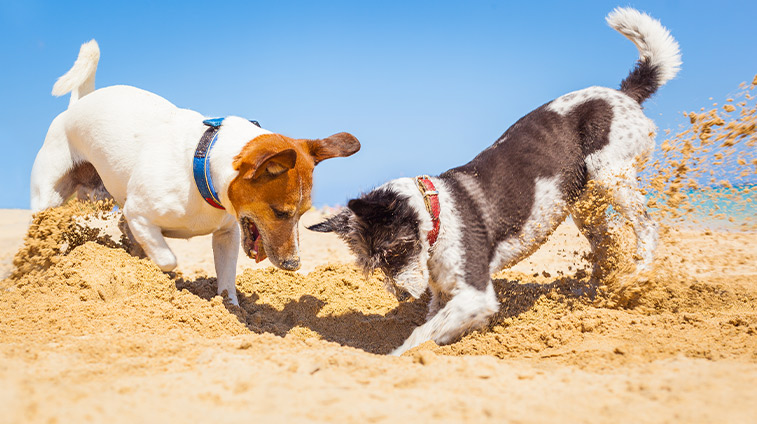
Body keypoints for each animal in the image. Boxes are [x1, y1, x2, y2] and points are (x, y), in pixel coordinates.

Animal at [30, 40, 360, 304]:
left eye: (304, 214)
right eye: (280, 212)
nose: (294, 265)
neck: (202, 168)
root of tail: (78, 104)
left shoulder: (227, 234)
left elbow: (227, 280)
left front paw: (231, 308)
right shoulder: (137, 214)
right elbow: (166, 258)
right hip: (48, 198)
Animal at [310, 8, 684, 356]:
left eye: (393, 251)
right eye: (371, 264)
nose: (400, 294)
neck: (437, 213)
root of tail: (624, 94)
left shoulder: (476, 294)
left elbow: (421, 334)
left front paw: (396, 356)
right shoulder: (444, 293)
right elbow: (435, 321)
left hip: (610, 175)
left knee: (647, 227)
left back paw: (635, 278)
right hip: (583, 202)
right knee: (607, 242)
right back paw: (598, 290)